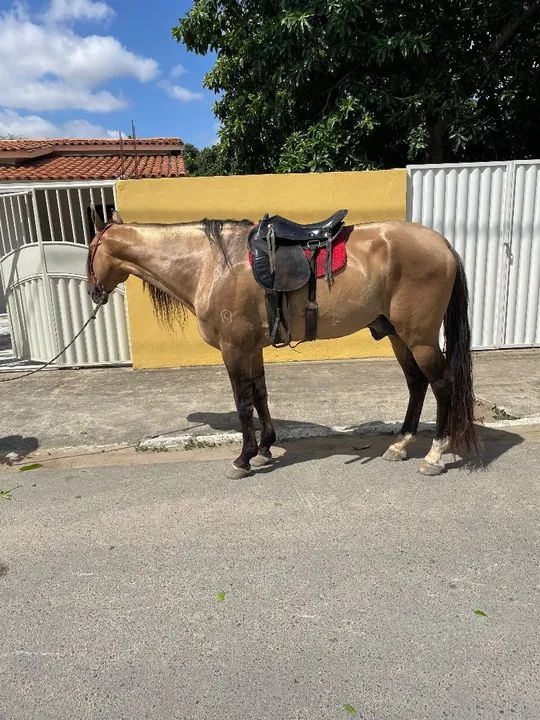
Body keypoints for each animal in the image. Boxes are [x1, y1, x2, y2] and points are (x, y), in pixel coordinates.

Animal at [87, 207, 477, 478]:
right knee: (416, 384)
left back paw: (434, 455)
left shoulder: (234, 349)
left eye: (90, 249)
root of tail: (443, 244)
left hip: (420, 338)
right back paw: (400, 444)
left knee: (442, 384)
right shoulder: (251, 348)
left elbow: (243, 403)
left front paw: (243, 458)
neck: (211, 265)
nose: (93, 292)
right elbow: (260, 394)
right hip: (398, 336)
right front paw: (265, 449)